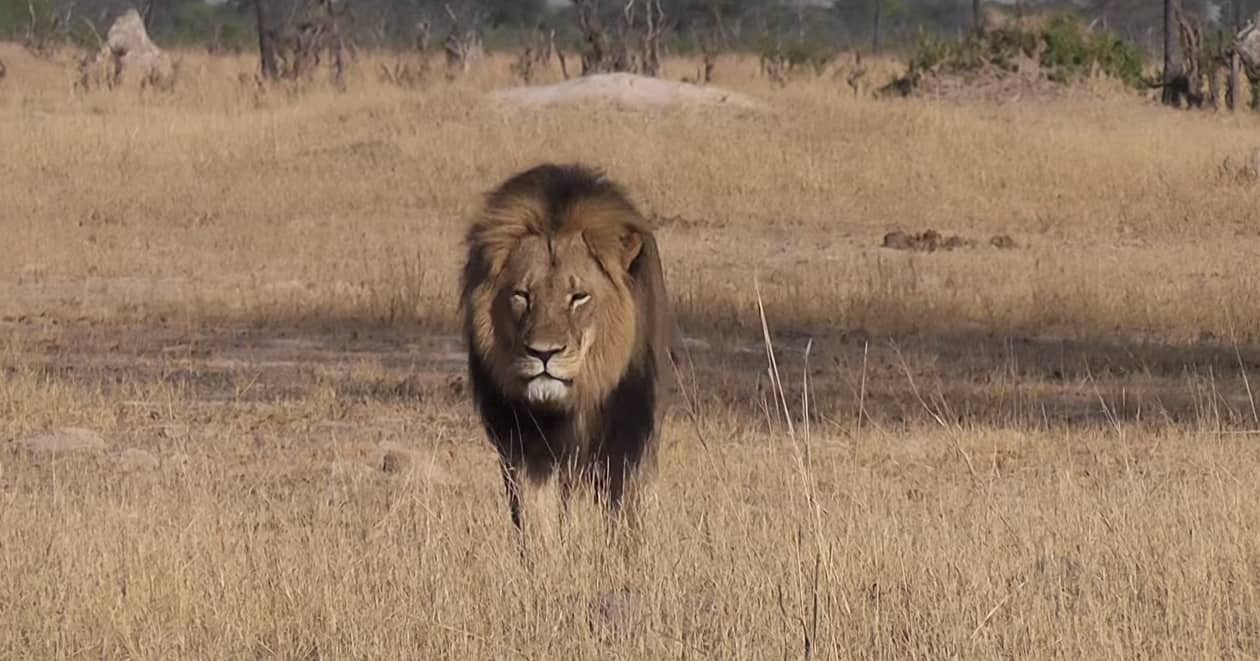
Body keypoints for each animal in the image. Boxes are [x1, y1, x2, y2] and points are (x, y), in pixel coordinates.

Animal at [459, 162, 672, 532]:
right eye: (522, 295)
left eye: (578, 297)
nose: (544, 353)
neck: (571, 405)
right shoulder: (525, 450)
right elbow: (537, 524)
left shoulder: (624, 443)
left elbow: (622, 518)